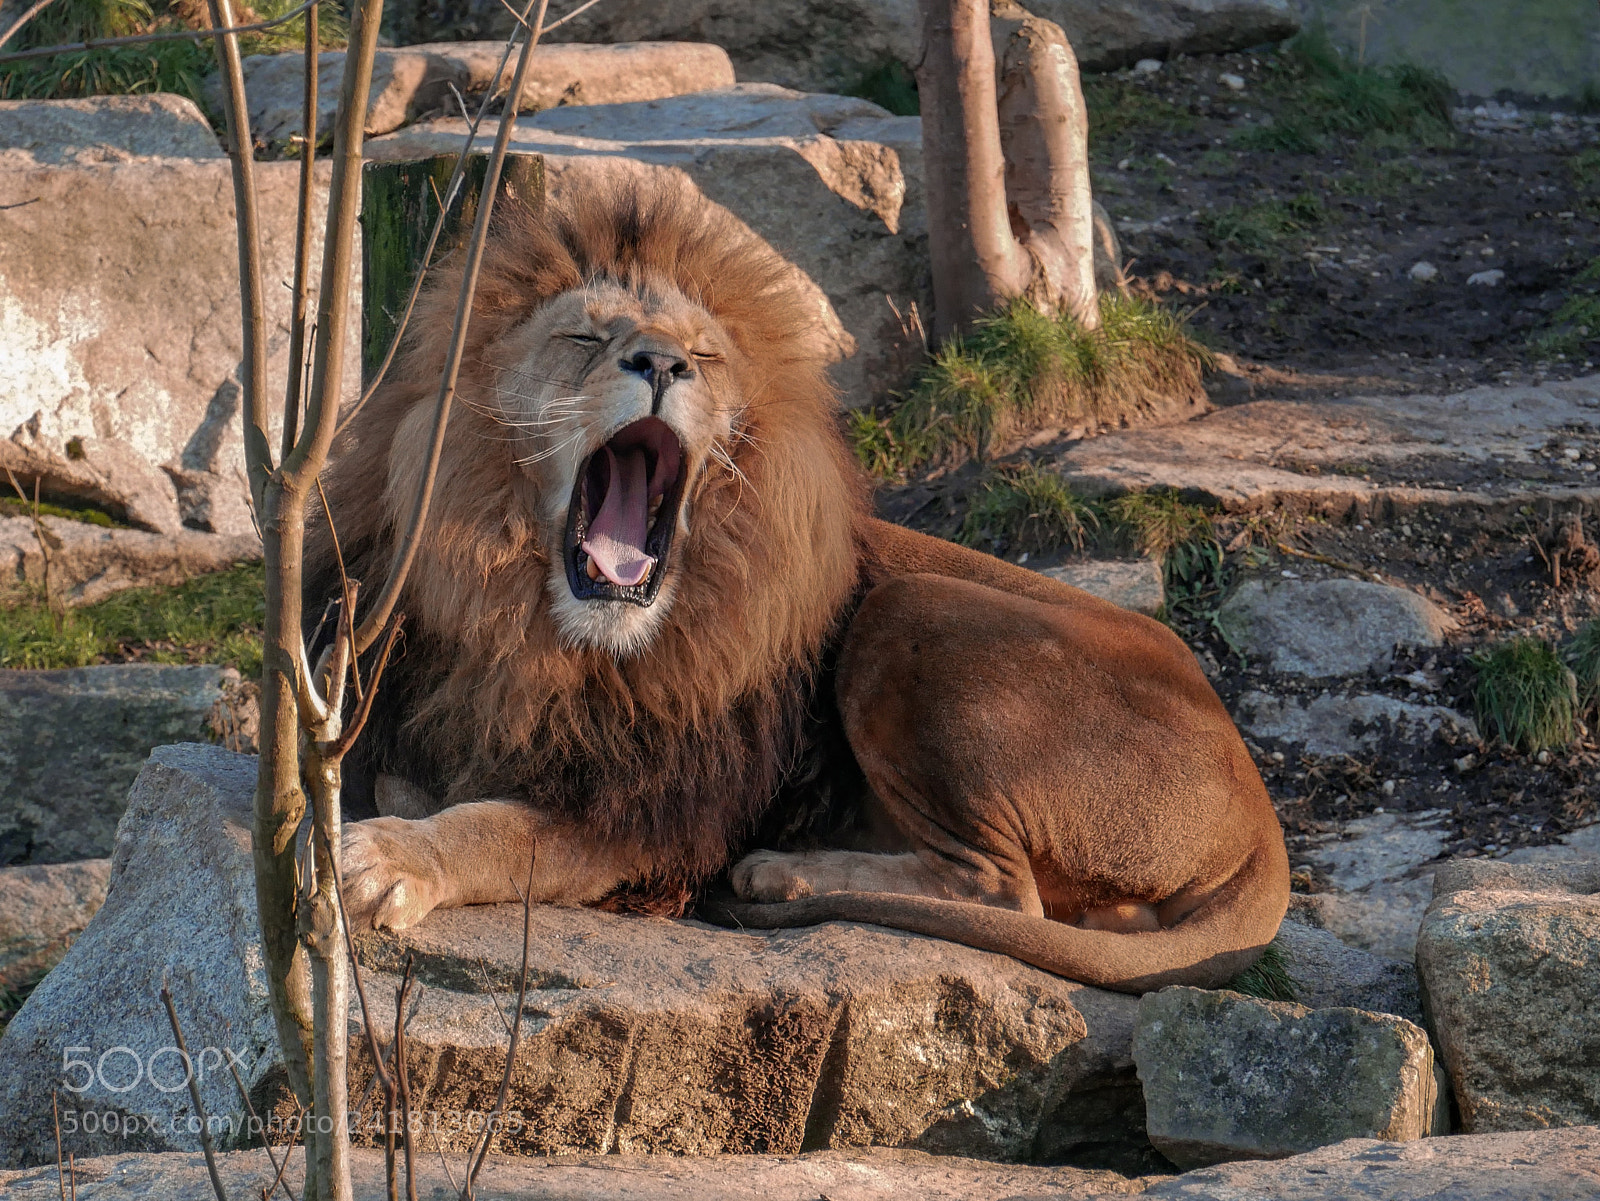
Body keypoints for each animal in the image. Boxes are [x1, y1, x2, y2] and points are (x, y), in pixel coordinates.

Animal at [312, 180, 1289, 994]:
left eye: (703, 353)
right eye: (585, 338)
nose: (663, 365)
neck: (535, 627)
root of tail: (1259, 808)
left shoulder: (646, 811)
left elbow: (499, 827)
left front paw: (389, 857)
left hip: (910, 606)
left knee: (1003, 892)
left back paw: (780, 869)